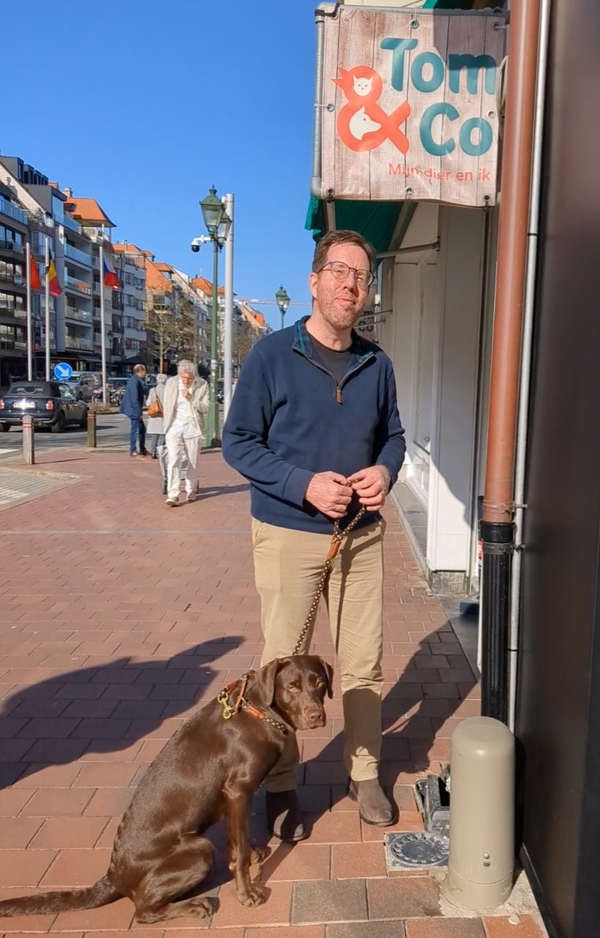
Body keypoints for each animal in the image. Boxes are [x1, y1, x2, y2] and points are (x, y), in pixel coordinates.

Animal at [0, 655, 333, 923]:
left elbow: (239, 839)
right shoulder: (238, 790)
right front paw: (246, 893)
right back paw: (194, 905)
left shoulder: (233, 797)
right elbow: (237, 850)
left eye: (318, 682)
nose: (317, 716)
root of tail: (113, 876)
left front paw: (251, 854)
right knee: (142, 911)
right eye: (291, 687)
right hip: (200, 850)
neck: (258, 710)